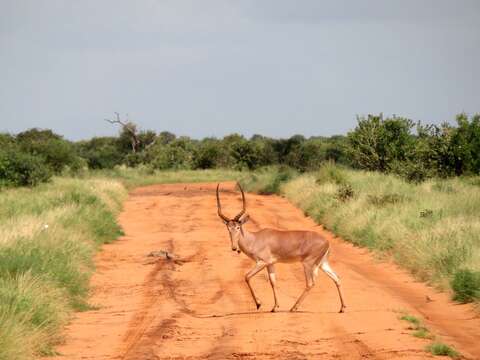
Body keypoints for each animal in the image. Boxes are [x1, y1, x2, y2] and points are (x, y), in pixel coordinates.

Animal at [217, 183, 344, 312]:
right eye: (228, 228)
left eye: (238, 227)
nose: (234, 248)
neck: (255, 239)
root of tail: (327, 241)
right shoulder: (271, 264)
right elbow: (273, 282)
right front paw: (274, 307)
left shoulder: (262, 262)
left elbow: (247, 277)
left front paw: (259, 304)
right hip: (323, 263)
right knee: (337, 278)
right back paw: (342, 308)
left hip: (308, 264)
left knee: (310, 283)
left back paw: (293, 307)